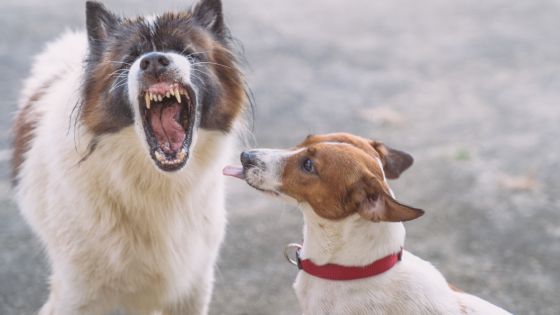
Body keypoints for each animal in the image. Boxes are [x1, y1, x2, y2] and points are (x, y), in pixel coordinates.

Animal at [10, 1, 246, 314]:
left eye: (185, 51)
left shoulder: (193, 287)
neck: (156, 183)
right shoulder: (76, 295)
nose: (154, 61)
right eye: (132, 57)